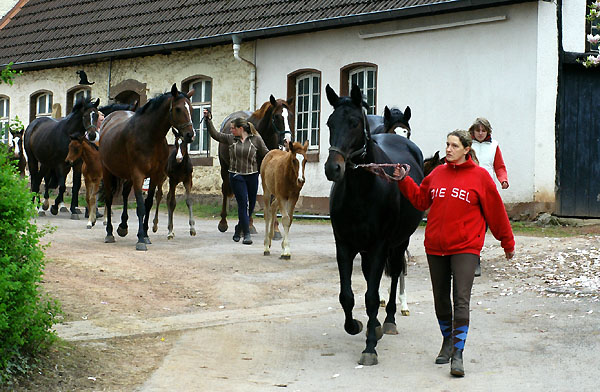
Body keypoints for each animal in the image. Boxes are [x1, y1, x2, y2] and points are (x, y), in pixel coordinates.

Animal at [98, 84, 192, 251]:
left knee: (124, 194)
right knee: (109, 199)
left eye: (191, 108)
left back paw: (123, 226)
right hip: (107, 172)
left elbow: (148, 204)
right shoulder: (138, 175)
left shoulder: (154, 176)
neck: (150, 136)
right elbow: (140, 206)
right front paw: (141, 239)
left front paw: (146, 235)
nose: (190, 134)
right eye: (178, 109)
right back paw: (109, 233)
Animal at [217, 95, 294, 236]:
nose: (287, 141)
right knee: (226, 190)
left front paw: (275, 229)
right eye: (276, 116)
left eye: (290, 116)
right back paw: (224, 223)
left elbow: (271, 197)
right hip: (225, 168)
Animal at [326, 84, 424, 366]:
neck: (362, 190)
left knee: (394, 277)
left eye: (355, 123)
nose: (332, 168)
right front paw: (356, 326)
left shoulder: (381, 245)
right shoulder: (344, 245)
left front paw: (370, 346)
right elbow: (347, 296)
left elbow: (371, 297)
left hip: (399, 242)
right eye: (329, 123)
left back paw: (389, 320)